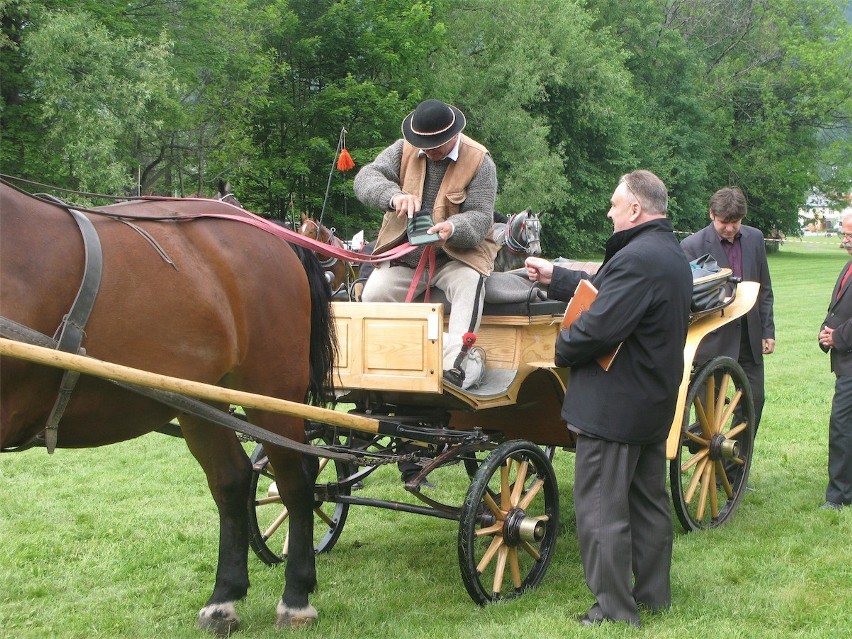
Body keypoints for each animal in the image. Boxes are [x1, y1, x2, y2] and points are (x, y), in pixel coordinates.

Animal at [0, 180, 340, 636]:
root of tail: (269, 230)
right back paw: (224, 598)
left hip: (273, 389)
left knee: (296, 482)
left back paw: (296, 597)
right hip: (200, 399)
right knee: (232, 481)